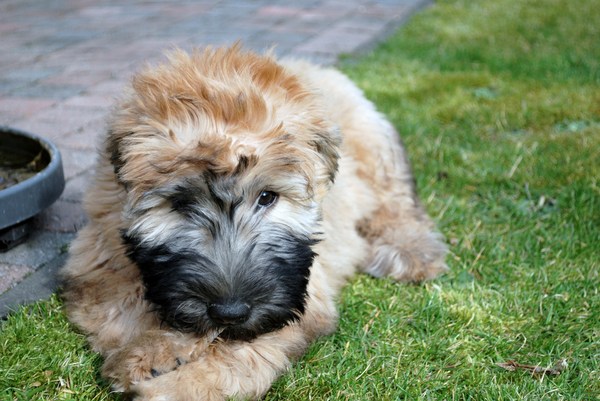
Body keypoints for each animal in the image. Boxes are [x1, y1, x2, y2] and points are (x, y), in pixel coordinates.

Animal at [61, 45, 448, 398]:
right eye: (181, 203)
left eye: (267, 197)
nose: (230, 311)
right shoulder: (99, 258)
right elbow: (121, 304)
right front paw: (148, 351)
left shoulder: (297, 294)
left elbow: (243, 352)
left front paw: (178, 384)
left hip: (373, 143)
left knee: (396, 200)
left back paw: (411, 251)